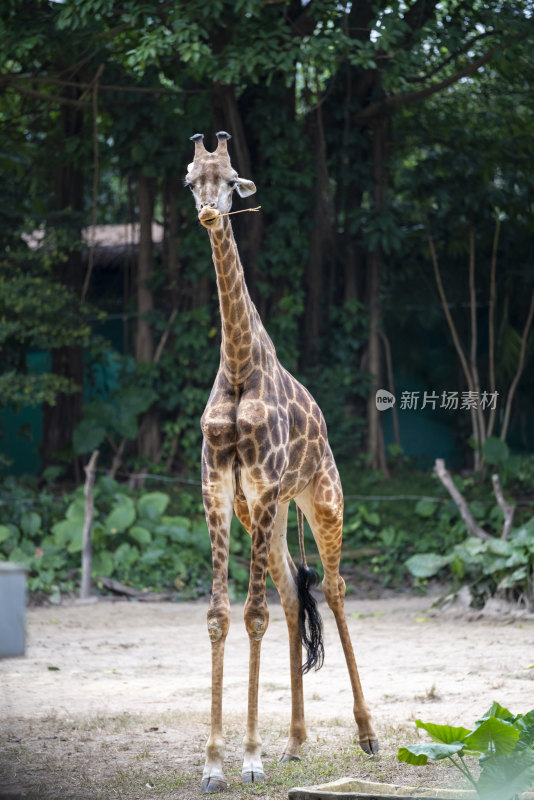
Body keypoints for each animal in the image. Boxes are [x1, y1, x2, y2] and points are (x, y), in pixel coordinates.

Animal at [186, 131, 378, 792]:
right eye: (191, 180)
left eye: (231, 180)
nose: (209, 213)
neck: (240, 366)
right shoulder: (220, 490)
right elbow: (220, 615)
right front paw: (215, 764)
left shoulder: (266, 485)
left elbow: (252, 615)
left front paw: (247, 758)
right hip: (260, 518)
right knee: (296, 594)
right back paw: (294, 743)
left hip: (321, 498)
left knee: (337, 589)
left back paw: (369, 735)